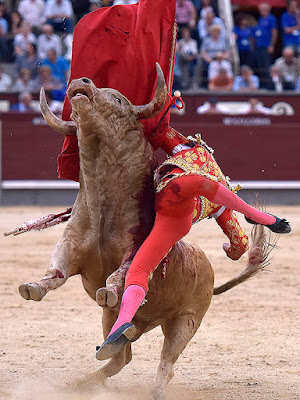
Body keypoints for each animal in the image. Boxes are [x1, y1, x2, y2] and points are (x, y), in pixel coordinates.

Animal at [17, 64, 268, 398]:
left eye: (119, 100)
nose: (81, 82)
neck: (102, 210)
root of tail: (209, 270)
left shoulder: (134, 250)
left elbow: (120, 274)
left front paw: (109, 290)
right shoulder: (69, 247)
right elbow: (55, 273)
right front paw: (32, 288)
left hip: (186, 321)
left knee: (166, 361)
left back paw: (156, 390)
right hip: (115, 318)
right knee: (120, 355)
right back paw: (82, 379)